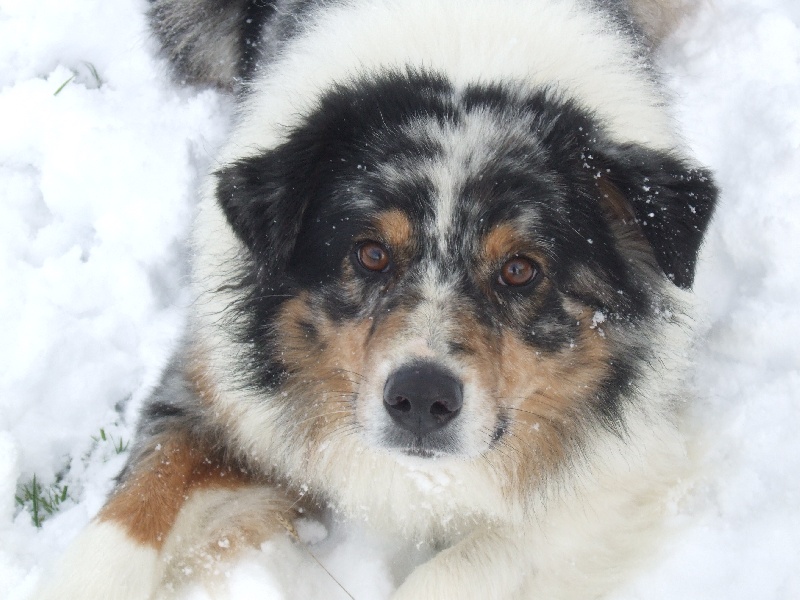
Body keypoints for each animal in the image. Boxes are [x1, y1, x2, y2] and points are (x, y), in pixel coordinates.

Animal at [34, 1, 716, 600]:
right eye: (370, 254)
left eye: (520, 270)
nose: (421, 399)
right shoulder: (215, 393)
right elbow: (129, 514)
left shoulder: (630, 467)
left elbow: (465, 566)